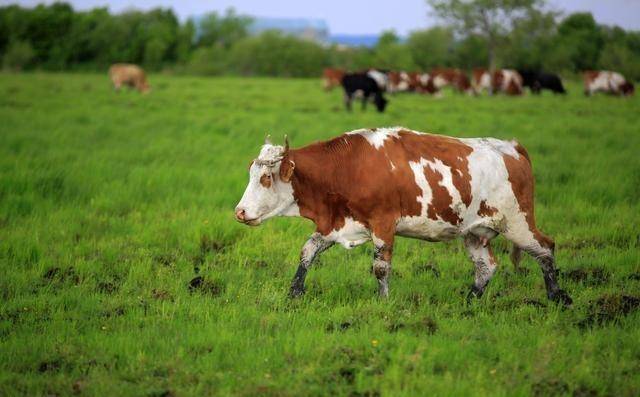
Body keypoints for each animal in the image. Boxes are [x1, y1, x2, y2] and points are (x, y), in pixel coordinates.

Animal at [236, 126, 576, 304]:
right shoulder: (337, 224)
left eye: (265, 178)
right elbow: (307, 252)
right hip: (475, 233)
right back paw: (469, 300)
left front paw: (383, 302)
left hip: (517, 222)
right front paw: (294, 293)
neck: (347, 167)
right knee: (486, 266)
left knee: (545, 248)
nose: (239, 212)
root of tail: (512, 147)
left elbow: (380, 268)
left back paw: (557, 296)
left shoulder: (383, 224)